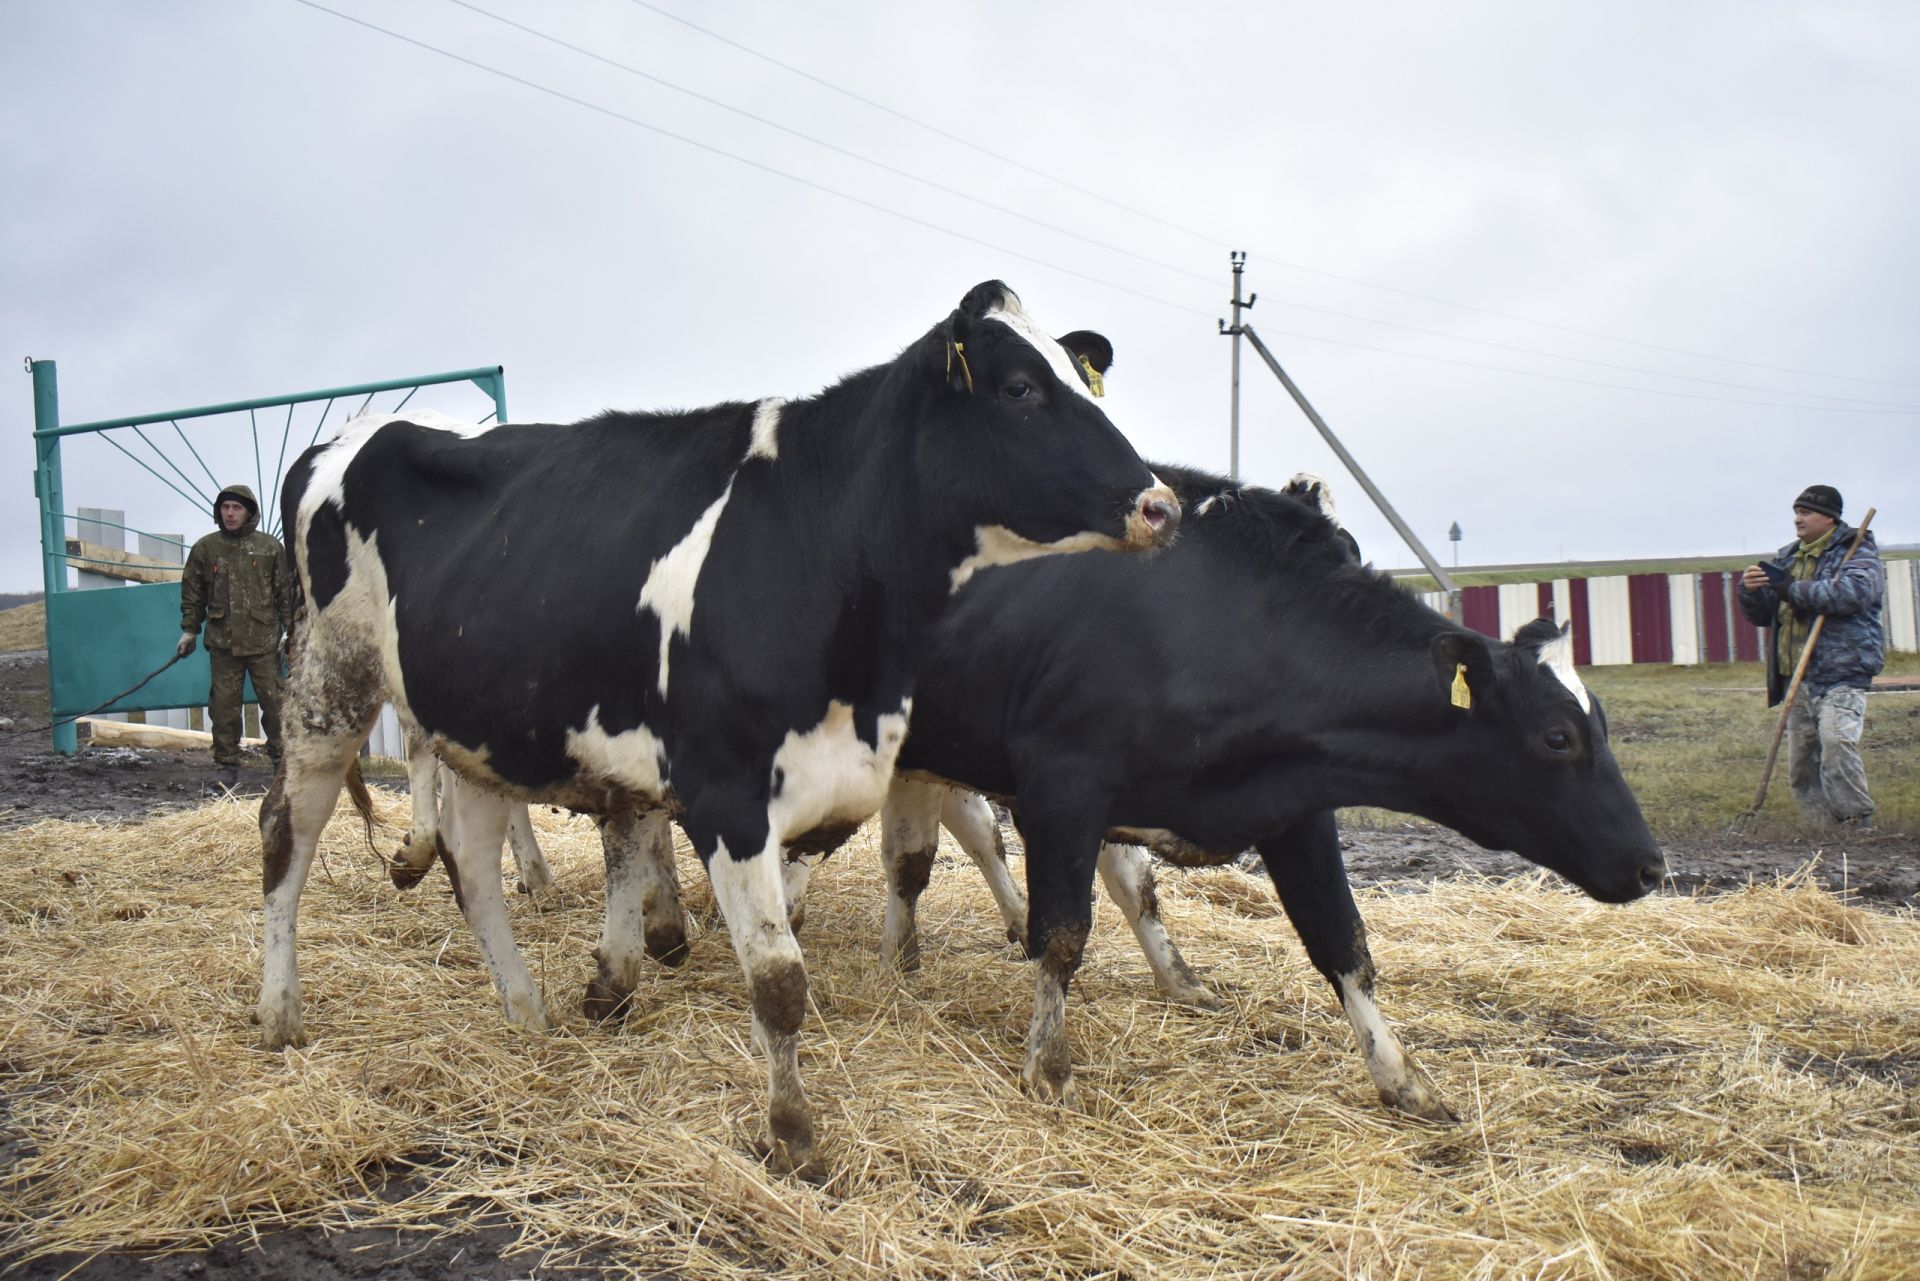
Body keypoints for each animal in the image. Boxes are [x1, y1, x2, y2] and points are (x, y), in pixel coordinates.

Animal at [261, 280, 1175, 1175]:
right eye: (1020, 387)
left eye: (1079, 373)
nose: (1161, 503)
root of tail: (353, 432)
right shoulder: (728, 793)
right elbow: (777, 978)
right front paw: (794, 1134)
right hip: (331, 675)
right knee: (287, 831)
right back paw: (280, 1012)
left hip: (484, 726)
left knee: (473, 859)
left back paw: (524, 1010)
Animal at [871, 466, 1666, 1113]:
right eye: (1558, 737)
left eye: (1599, 721)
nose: (1651, 867)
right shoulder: (1063, 790)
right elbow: (1063, 936)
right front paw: (1048, 1066)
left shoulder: (1296, 809)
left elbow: (1342, 940)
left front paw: (1403, 1079)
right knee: (920, 855)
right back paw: (896, 960)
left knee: (938, 850)